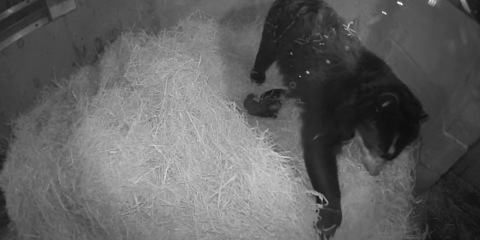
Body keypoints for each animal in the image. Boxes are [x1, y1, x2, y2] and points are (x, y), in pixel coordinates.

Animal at [246, 0, 430, 238]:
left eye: (391, 156)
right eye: (378, 147)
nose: (374, 172)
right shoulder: (329, 104)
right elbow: (319, 148)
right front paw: (329, 220)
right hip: (278, 24)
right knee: (267, 46)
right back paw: (258, 74)